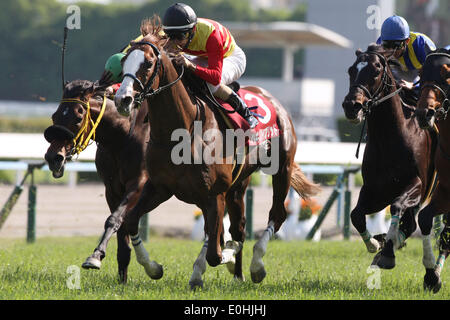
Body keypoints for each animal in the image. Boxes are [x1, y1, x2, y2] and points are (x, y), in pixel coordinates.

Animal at [44, 79, 159, 282]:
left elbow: (115, 219)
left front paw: (95, 256)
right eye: (54, 115)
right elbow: (121, 226)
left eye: (78, 117)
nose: (53, 157)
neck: (123, 136)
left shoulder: (138, 182)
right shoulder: (112, 188)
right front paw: (122, 278)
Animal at [111, 17, 320, 288]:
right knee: (238, 226)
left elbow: (215, 251)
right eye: (124, 61)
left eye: (147, 63)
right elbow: (131, 221)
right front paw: (153, 267)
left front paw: (223, 258)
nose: (122, 100)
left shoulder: (213, 194)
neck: (183, 130)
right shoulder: (160, 188)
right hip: (238, 185)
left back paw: (255, 266)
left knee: (276, 215)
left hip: (281, 169)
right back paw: (236, 274)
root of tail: (273, 100)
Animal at [342, 45, 436, 270]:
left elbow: (397, 205)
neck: (391, 138)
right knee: (410, 223)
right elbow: (356, 214)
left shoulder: (417, 185)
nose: (351, 106)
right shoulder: (376, 190)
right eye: (351, 70)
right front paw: (375, 243)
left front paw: (387, 249)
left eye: (376, 71)